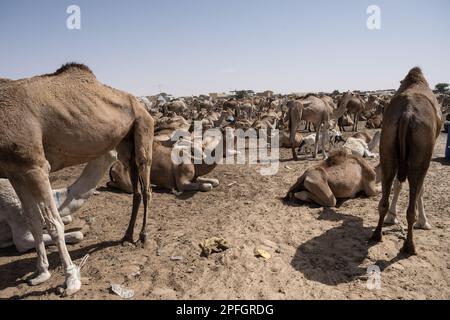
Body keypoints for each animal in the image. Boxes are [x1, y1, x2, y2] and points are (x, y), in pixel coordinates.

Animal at [0, 63, 155, 296]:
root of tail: (143, 105)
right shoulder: (15, 171)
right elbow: (33, 221)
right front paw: (40, 273)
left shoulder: (36, 166)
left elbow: (54, 224)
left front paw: (71, 280)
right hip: (126, 145)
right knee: (136, 190)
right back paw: (127, 236)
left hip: (143, 129)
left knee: (146, 189)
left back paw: (143, 236)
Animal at [370, 67, 442, 255]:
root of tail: (407, 113)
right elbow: (421, 190)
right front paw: (424, 222)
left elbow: (397, 184)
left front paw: (391, 218)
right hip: (421, 151)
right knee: (412, 200)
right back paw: (410, 246)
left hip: (387, 140)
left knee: (385, 195)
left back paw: (377, 234)